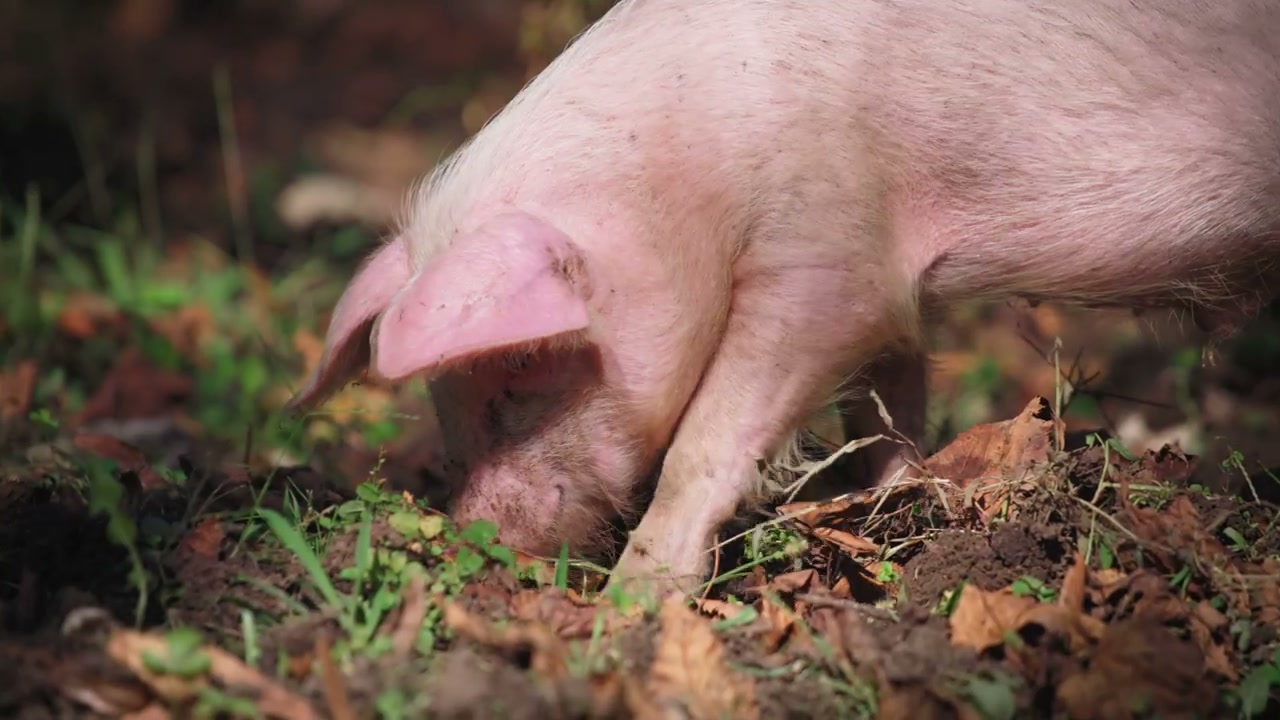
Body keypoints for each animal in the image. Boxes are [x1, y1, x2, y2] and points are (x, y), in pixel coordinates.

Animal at [291, 0, 1280, 596]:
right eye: (447, 403)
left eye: (519, 378)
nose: (476, 545)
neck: (687, 173)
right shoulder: (881, 274)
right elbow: (884, 400)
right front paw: (895, 503)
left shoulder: (827, 253)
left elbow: (712, 436)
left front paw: (635, 603)